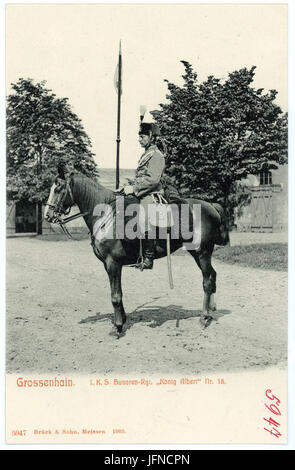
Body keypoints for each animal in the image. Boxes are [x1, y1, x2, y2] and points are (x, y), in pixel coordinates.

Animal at [45, 173, 230, 334]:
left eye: (59, 189)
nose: (48, 215)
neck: (106, 216)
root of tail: (211, 206)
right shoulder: (109, 265)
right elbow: (118, 293)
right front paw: (122, 320)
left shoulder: (113, 263)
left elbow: (115, 295)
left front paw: (118, 327)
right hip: (201, 254)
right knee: (213, 275)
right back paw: (211, 310)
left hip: (202, 253)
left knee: (207, 281)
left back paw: (204, 317)